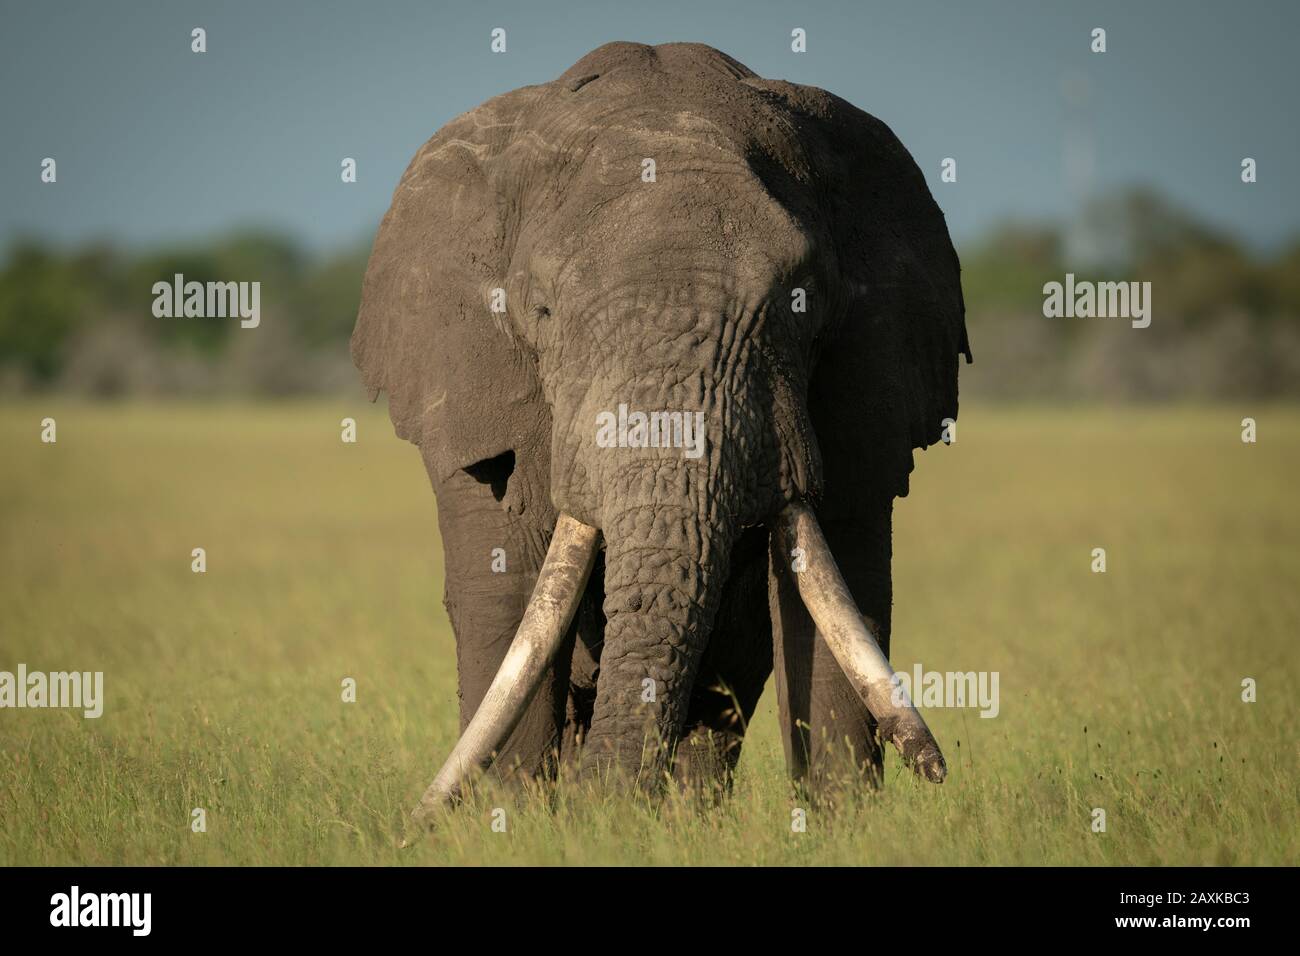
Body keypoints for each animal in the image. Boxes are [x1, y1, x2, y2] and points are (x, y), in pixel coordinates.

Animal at [352, 41, 971, 820]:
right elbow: (507, 592)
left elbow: (845, 591)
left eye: (800, 304)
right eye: (542, 312)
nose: (940, 767)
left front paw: (843, 825)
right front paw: (509, 823)